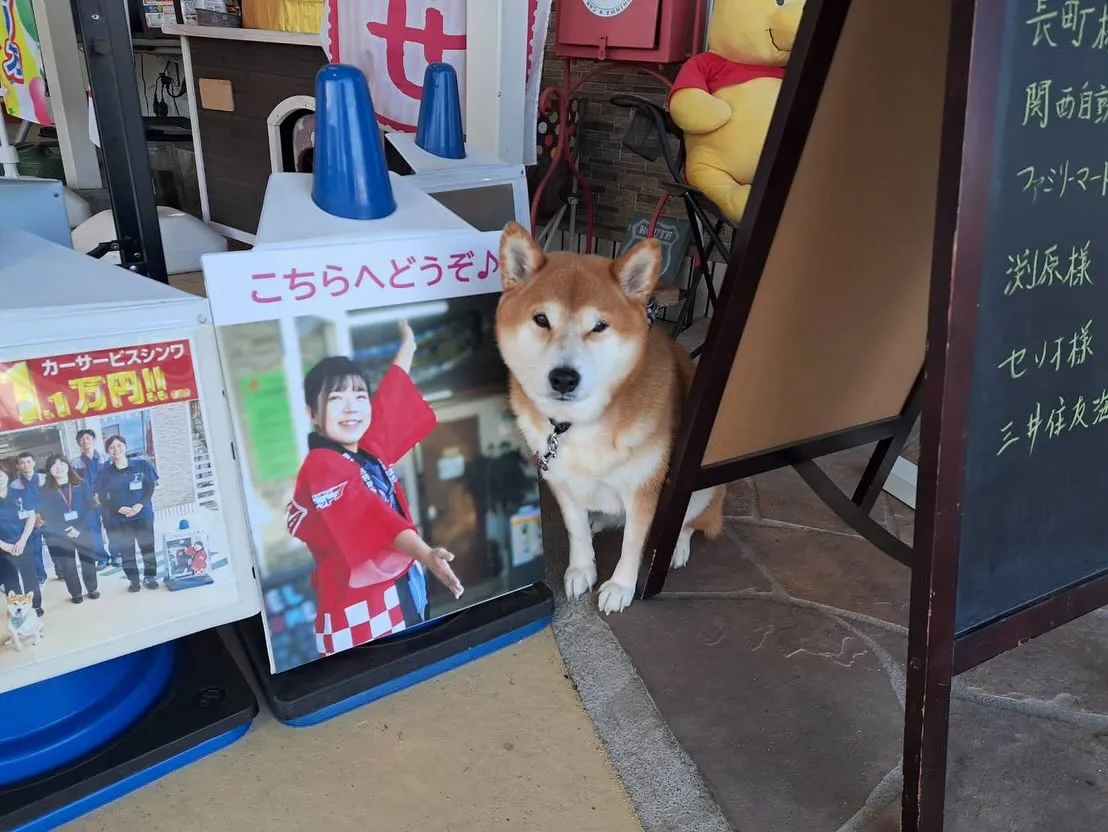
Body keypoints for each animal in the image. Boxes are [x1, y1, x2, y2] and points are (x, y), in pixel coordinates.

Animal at [496, 224, 722, 615]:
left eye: (599, 326)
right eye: (542, 320)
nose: (564, 378)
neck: (580, 425)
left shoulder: (645, 488)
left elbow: (633, 543)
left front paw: (620, 586)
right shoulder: (559, 479)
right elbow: (575, 531)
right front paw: (581, 568)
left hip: (700, 485)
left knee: (689, 523)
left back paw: (676, 547)